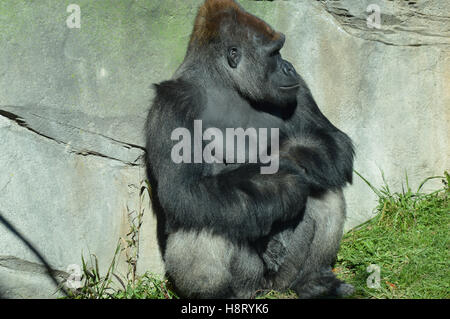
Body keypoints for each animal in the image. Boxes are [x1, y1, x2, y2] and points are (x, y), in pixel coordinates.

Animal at [146, 0, 354, 300]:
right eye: (274, 53)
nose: (290, 67)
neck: (225, 85)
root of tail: (264, 290)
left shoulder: (298, 87)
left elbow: (332, 141)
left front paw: (285, 157)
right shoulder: (174, 103)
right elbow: (184, 189)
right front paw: (281, 182)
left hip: (281, 278)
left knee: (325, 188)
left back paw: (313, 280)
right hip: (247, 283)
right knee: (205, 219)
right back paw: (219, 297)